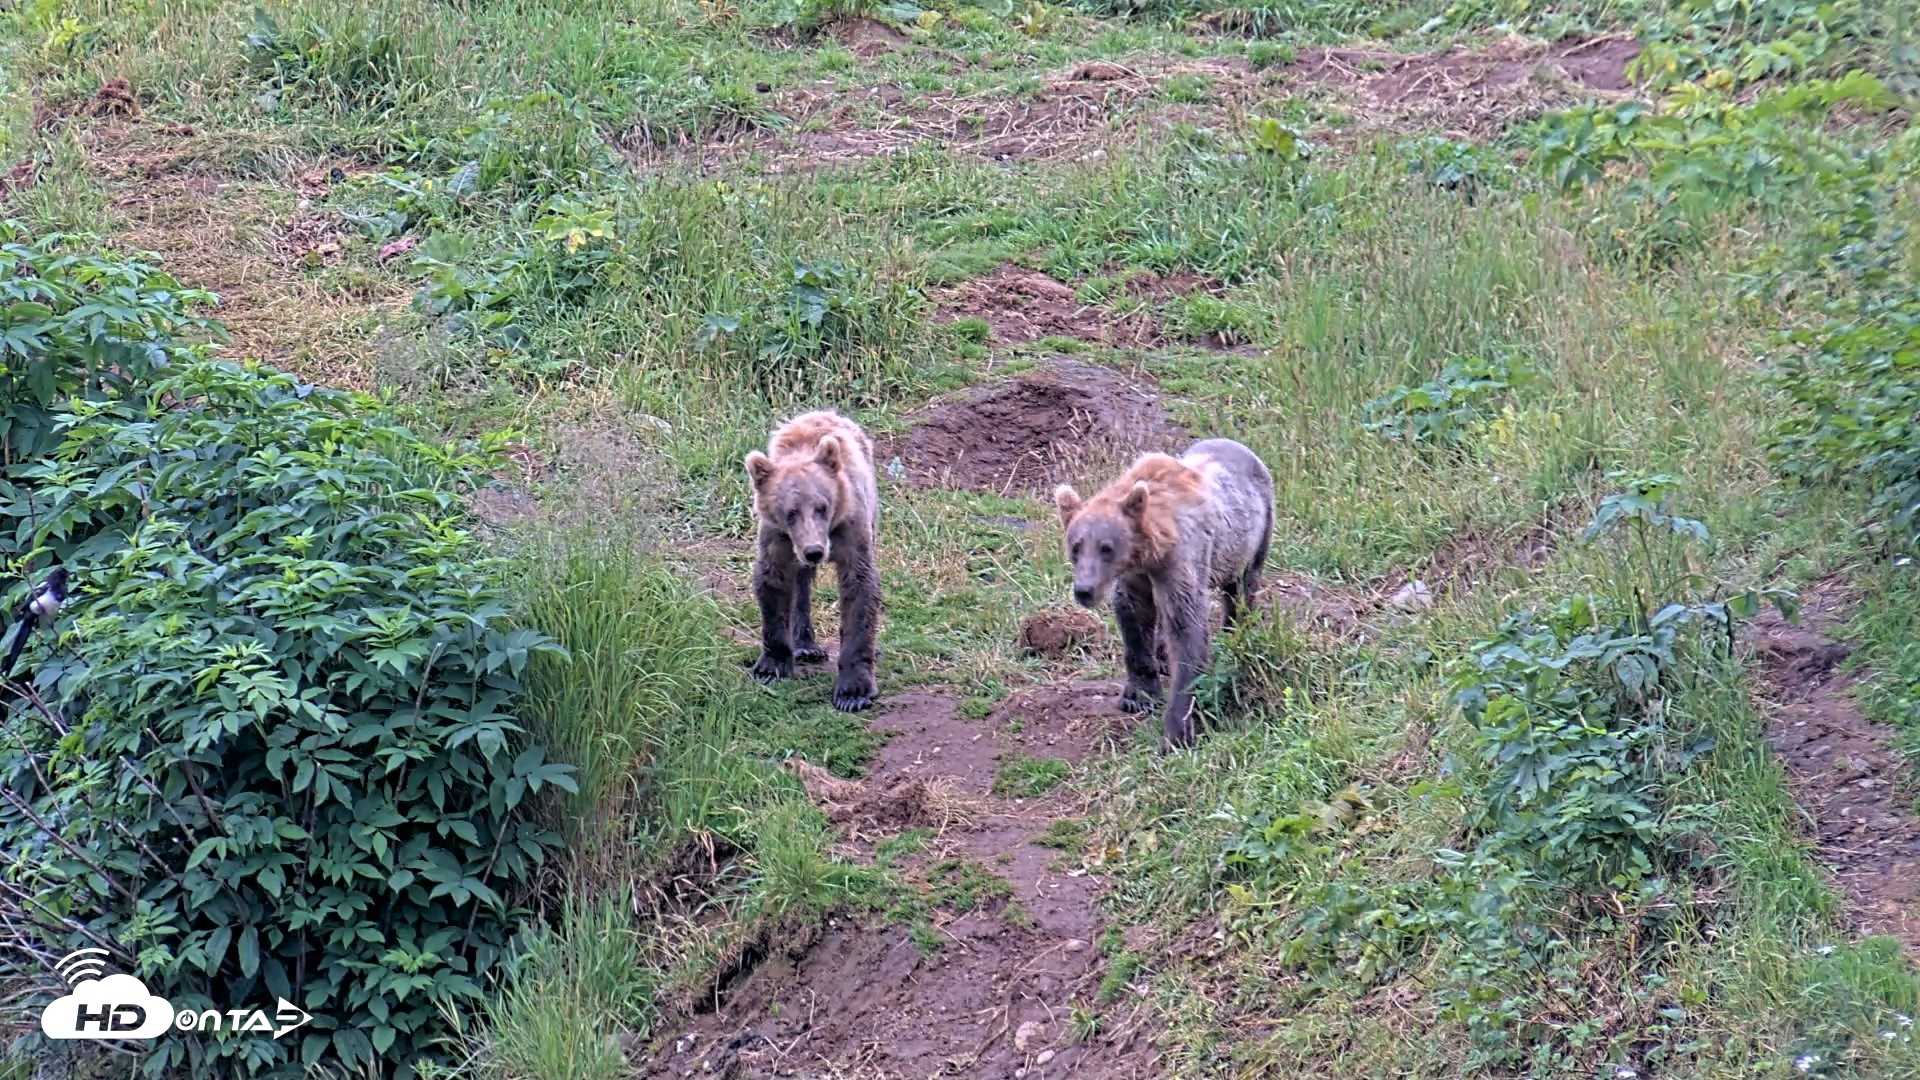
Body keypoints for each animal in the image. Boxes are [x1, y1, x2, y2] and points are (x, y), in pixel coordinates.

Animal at [744, 410, 882, 713]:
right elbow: (773, 582)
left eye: (823, 506)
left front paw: (853, 693)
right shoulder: (777, 537)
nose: (814, 551)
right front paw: (771, 667)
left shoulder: (851, 527)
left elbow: (859, 588)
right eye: (790, 512)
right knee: (801, 582)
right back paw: (805, 644)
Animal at [1053, 438, 1274, 748]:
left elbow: (1186, 626)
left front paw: (1177, 730)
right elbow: (1134, 614)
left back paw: (1235, 632)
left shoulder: (1181, 559)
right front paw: (1138, 695)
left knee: (1242, 588)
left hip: (1253, 534)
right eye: (1076, 546)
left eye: (1107, 548)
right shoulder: (1135, 574)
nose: (1084, 590)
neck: (1151, 549)